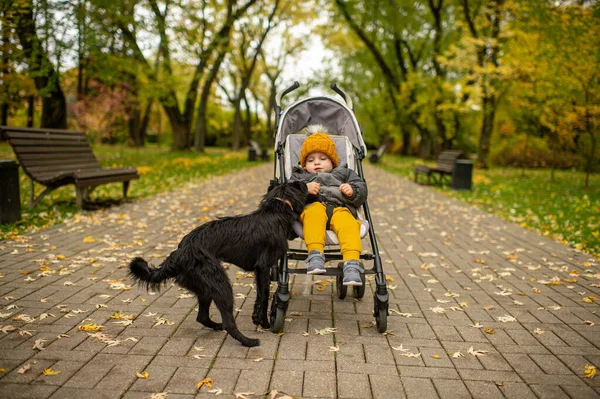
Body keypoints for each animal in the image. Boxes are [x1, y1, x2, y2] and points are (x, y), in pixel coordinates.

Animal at [126, 181, 304, 346]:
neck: (276, 212)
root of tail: (181, 252)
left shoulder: (259, 272)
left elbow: (260, 296)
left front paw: (258, 319)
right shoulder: (263, 267)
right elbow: (265, 296)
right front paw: (265, 322)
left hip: (205, 287)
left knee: (202, 316)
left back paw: (218, 326)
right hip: (220, 284)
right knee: (228, 323)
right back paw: (248, 341)